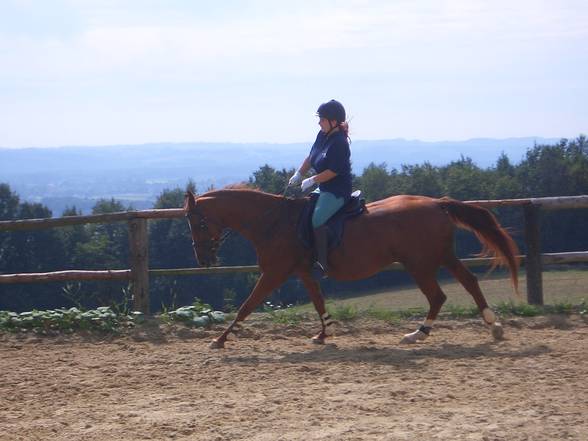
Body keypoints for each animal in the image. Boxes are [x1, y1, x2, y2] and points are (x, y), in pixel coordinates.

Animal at [181, 187, 516, 348]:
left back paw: (417, 334)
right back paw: (493, 326)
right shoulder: (303, 272)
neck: (273, 221)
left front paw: (220, 339)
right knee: (468, 281)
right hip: (440, 257)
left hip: (419, 263)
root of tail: (437, 203)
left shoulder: (274, 273)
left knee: (439, 296)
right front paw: (324, 334)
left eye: (198, 223)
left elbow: (246, 306)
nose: (203, 260)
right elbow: (318, 302)